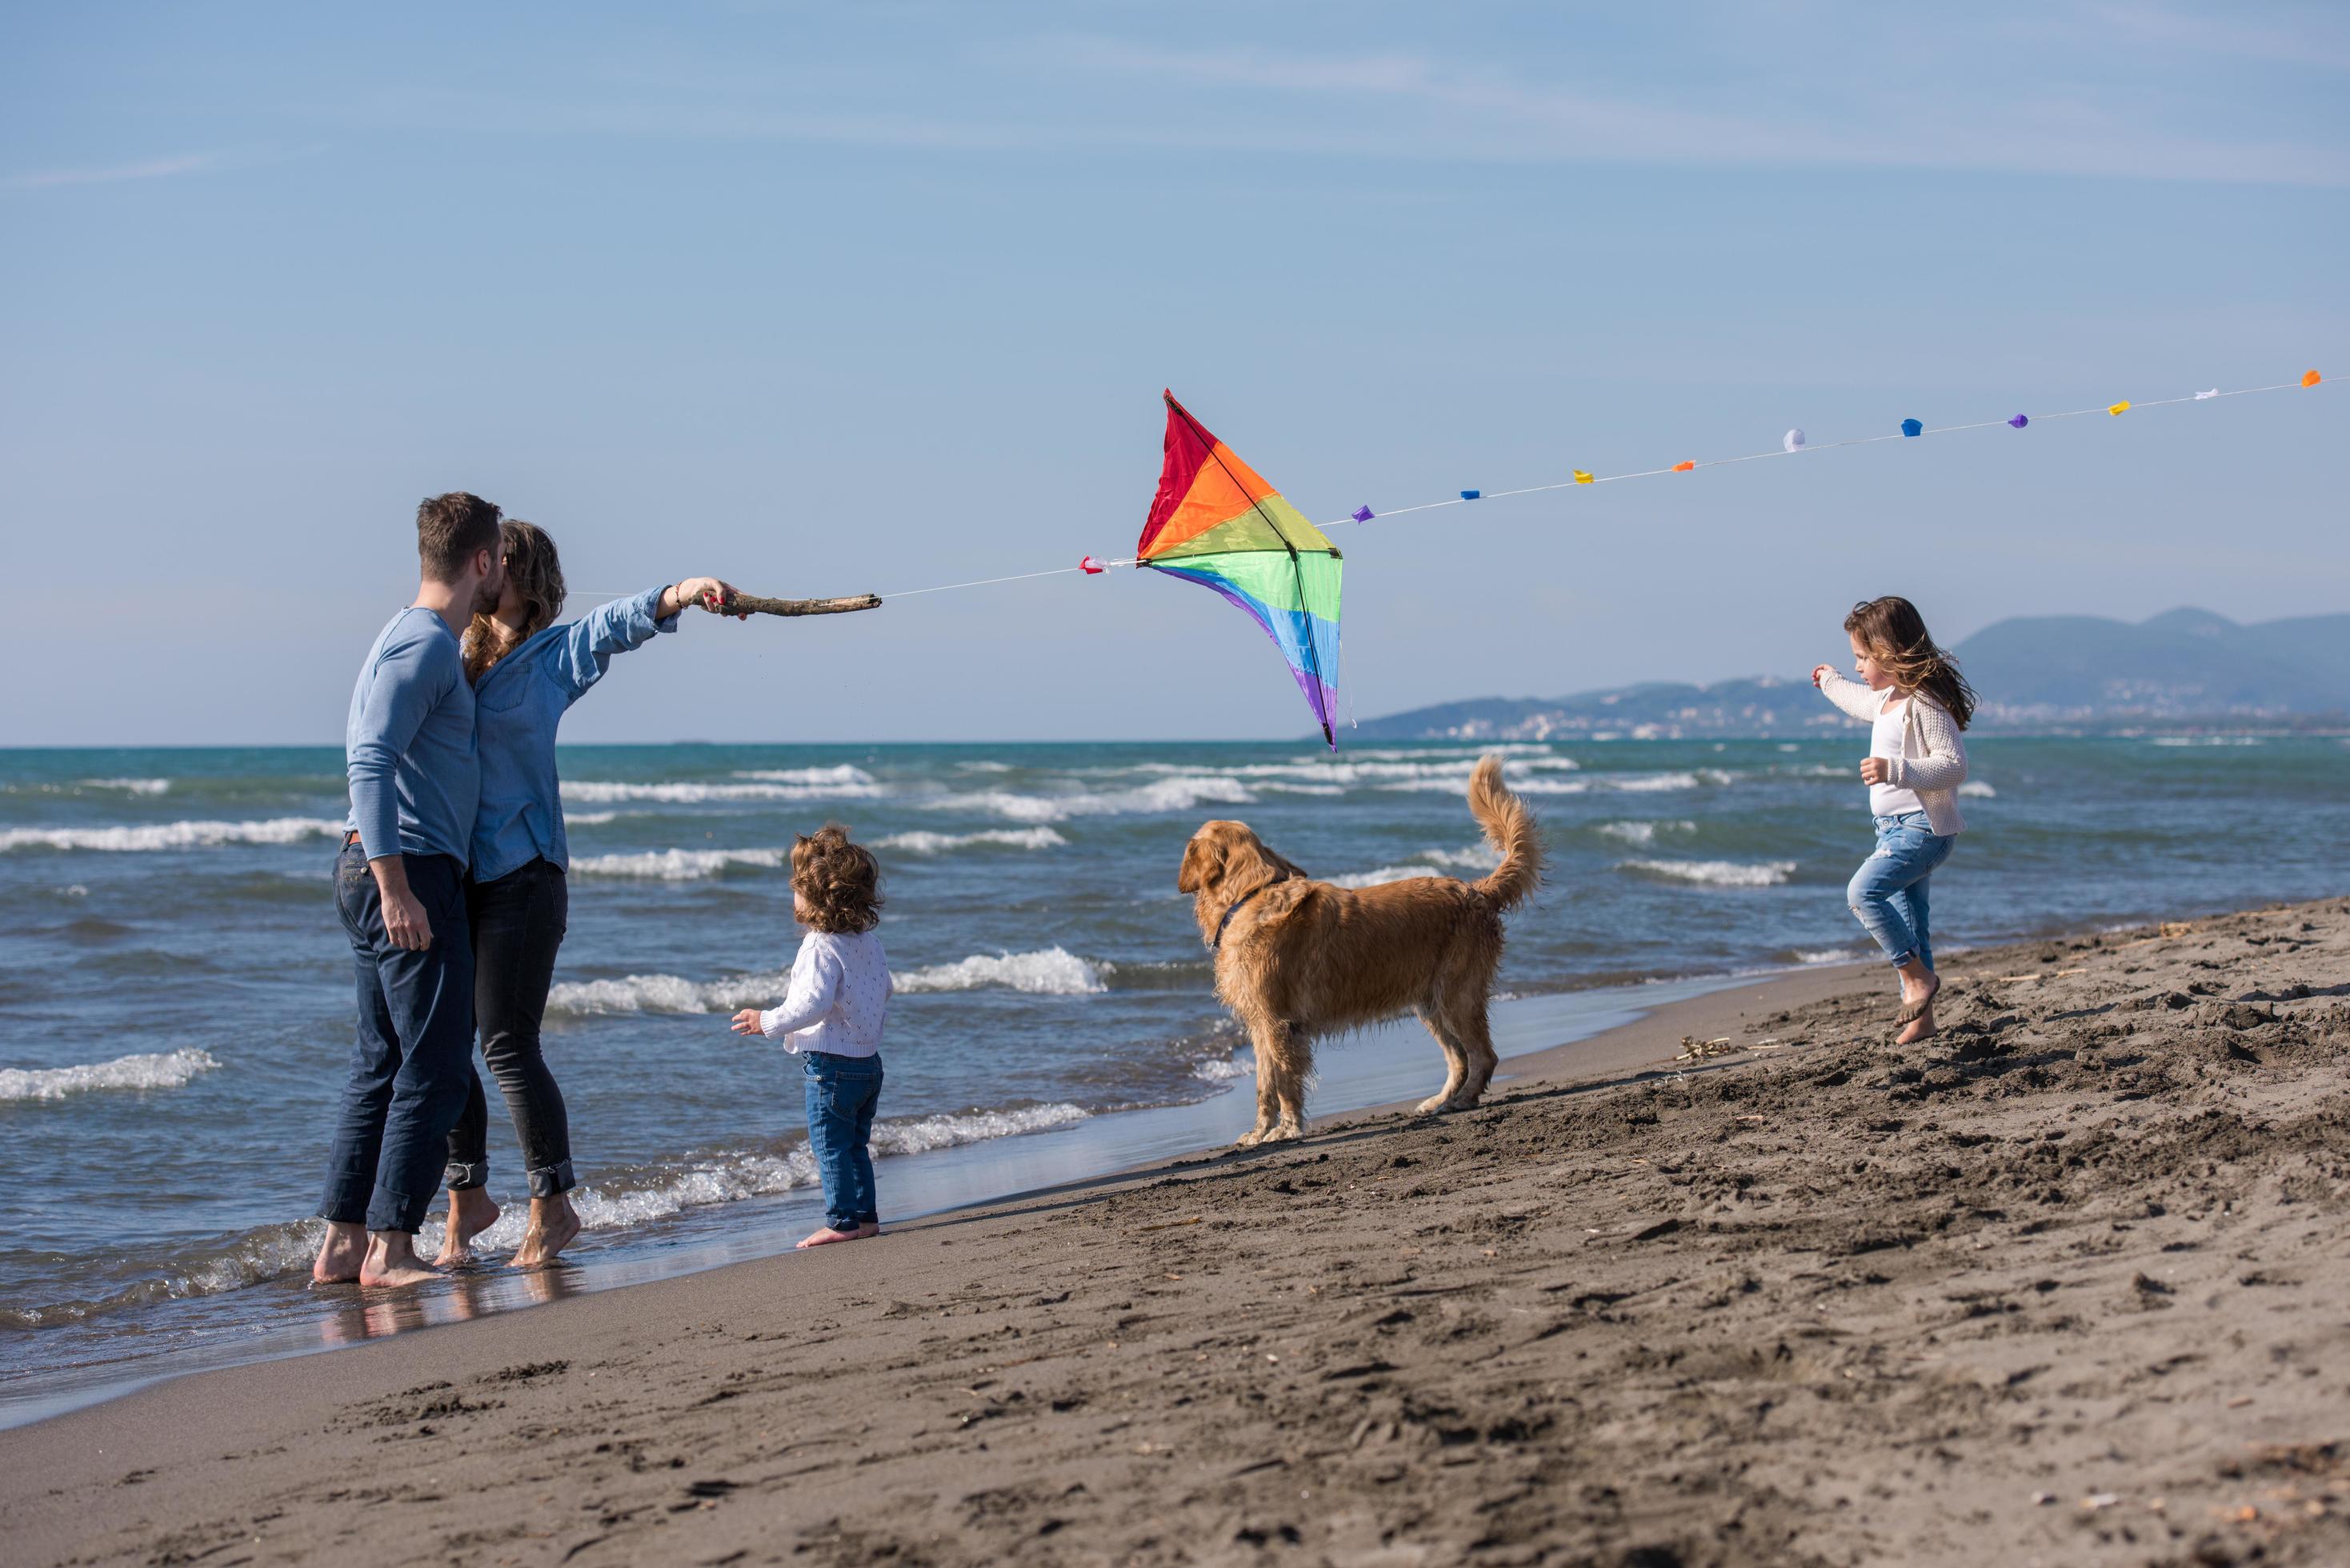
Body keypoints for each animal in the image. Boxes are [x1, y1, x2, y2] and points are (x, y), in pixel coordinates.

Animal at [1175, 752, 1541, 1147]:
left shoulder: (1278, 1023)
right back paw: (1439, 1101)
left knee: (1484, 1056)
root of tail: (1477, 890)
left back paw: (1463, 1100)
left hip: (1457, 996)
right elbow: (1264, 1086)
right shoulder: (1261, 1024)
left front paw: (1286, 1130)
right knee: (1459, 1059)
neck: (1250, 895)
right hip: (1431, 1004)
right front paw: (1260, 1132)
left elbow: (1285, 1084)